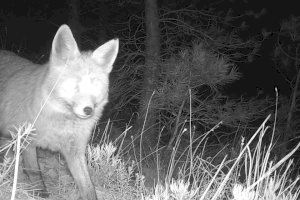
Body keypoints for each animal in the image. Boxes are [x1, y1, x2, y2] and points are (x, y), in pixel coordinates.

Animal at [0, 24, 119, 199]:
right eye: (75, 84)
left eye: (95, 85)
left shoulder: (75, 151)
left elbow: (88, 187)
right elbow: (34, 172)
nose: (88, 110)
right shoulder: (28, 141)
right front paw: (39, 193)